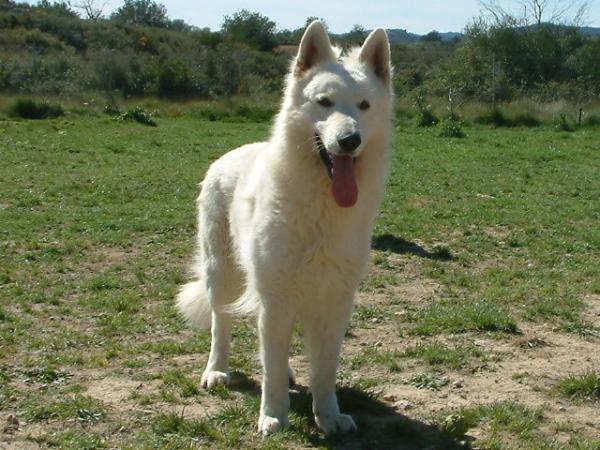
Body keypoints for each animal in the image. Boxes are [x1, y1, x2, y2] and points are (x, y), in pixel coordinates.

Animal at [177, 22, 394, 436]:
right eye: (324, 102)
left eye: (364, 106)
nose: (350, 141)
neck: (322, 205)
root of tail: (230, 155)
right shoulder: (276, 298)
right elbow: (271, 368)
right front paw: (274, 416)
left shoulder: (334, 303)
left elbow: (324, 372)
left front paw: (329, 416)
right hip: (222, 275)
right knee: (220, 324)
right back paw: (217, 371)